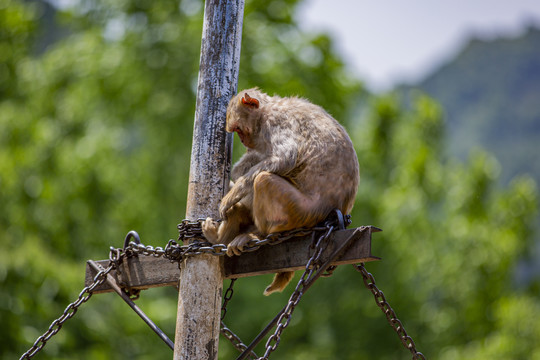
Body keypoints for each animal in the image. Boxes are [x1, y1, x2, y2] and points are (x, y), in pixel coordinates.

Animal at [201, 88, 358, 296]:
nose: (243, 141)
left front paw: (230, 196)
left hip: (300, 211)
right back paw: (229, 227)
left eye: (239, 130)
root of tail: (337, 211)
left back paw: (255, 234)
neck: (266, 112)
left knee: (263, 180)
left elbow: (285, 159)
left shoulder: (275, 123)